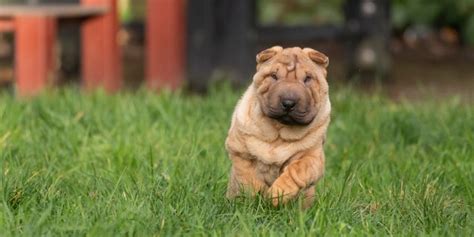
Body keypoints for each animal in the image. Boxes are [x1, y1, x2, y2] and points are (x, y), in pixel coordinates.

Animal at [225, 45, 330, 207]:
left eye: (307, 79)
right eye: (274, 76)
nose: (288, 102)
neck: (278, 133)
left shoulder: (312, 157)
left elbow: (296, 171)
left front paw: (276, 195)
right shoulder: (240, 152)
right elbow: (248, 179)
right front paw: (256, 200)